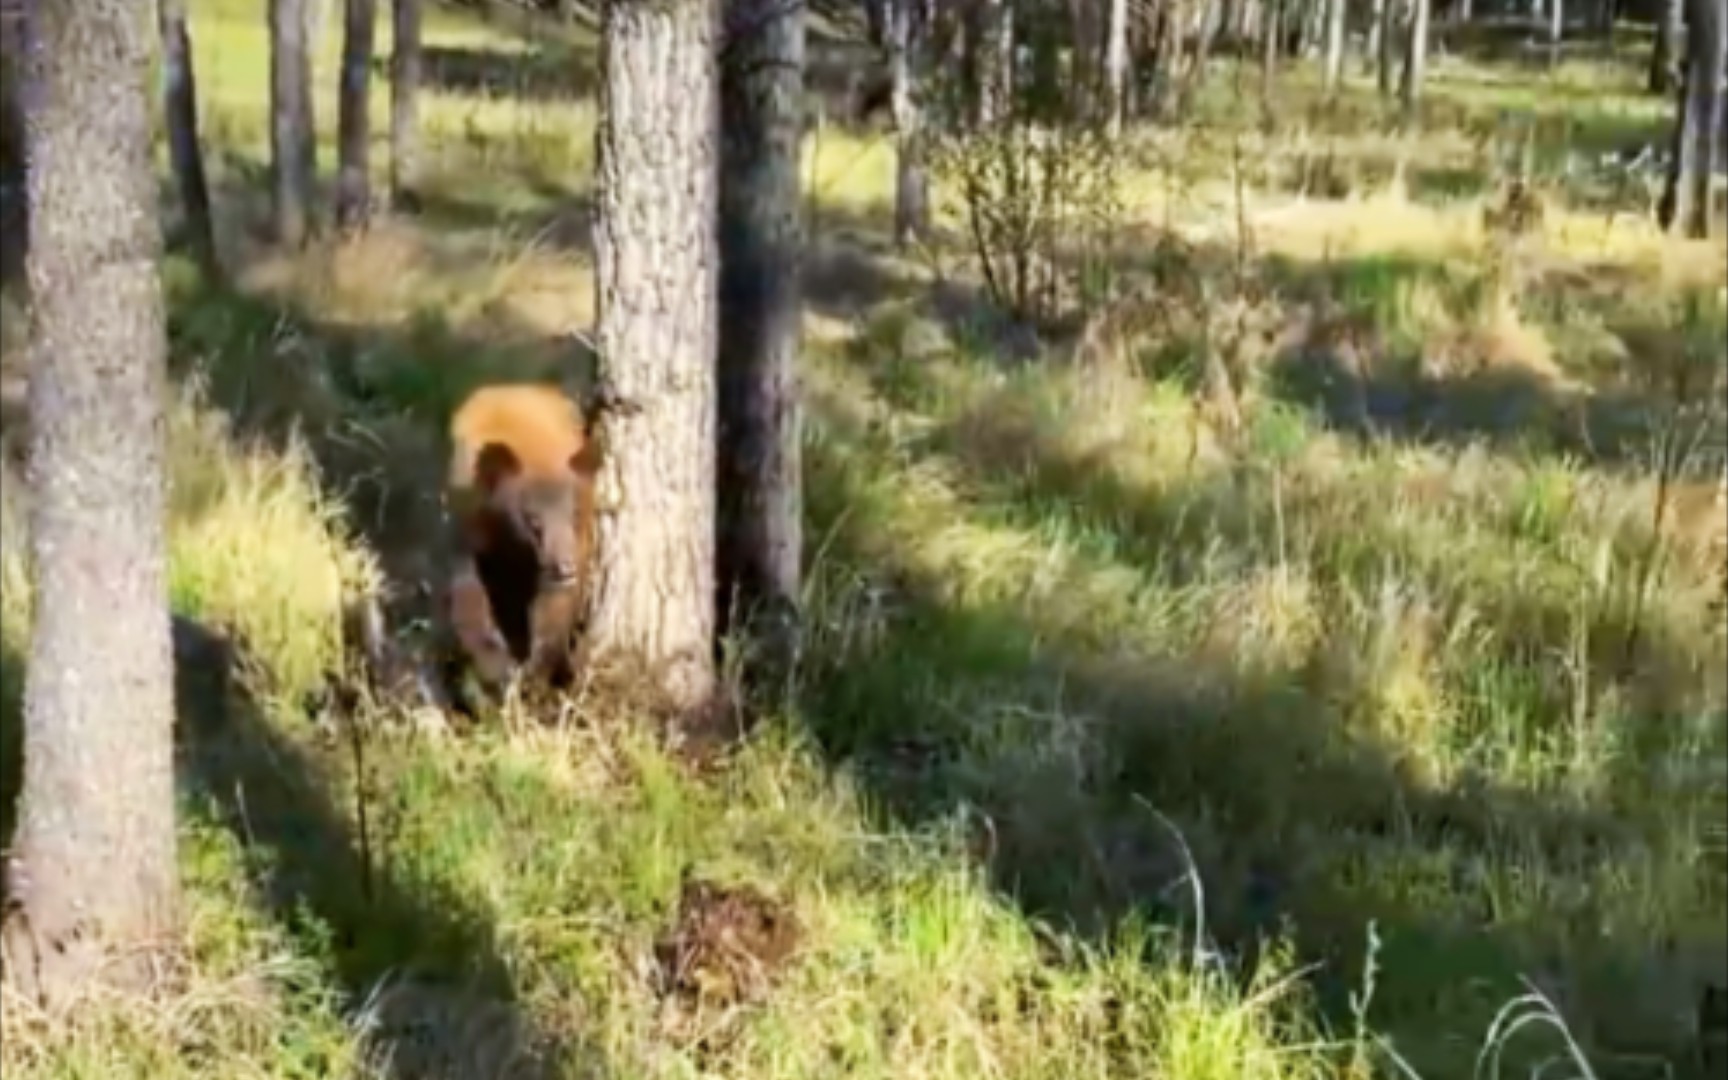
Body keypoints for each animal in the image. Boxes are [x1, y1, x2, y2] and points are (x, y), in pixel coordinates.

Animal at [438, 383, 601, 711]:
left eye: (575, 514)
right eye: (533, 520)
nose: (564, 567)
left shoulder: (578, 545)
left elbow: (555, 610)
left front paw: (534, 675)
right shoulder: (469, 526)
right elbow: (467, 594)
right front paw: (494, 670)